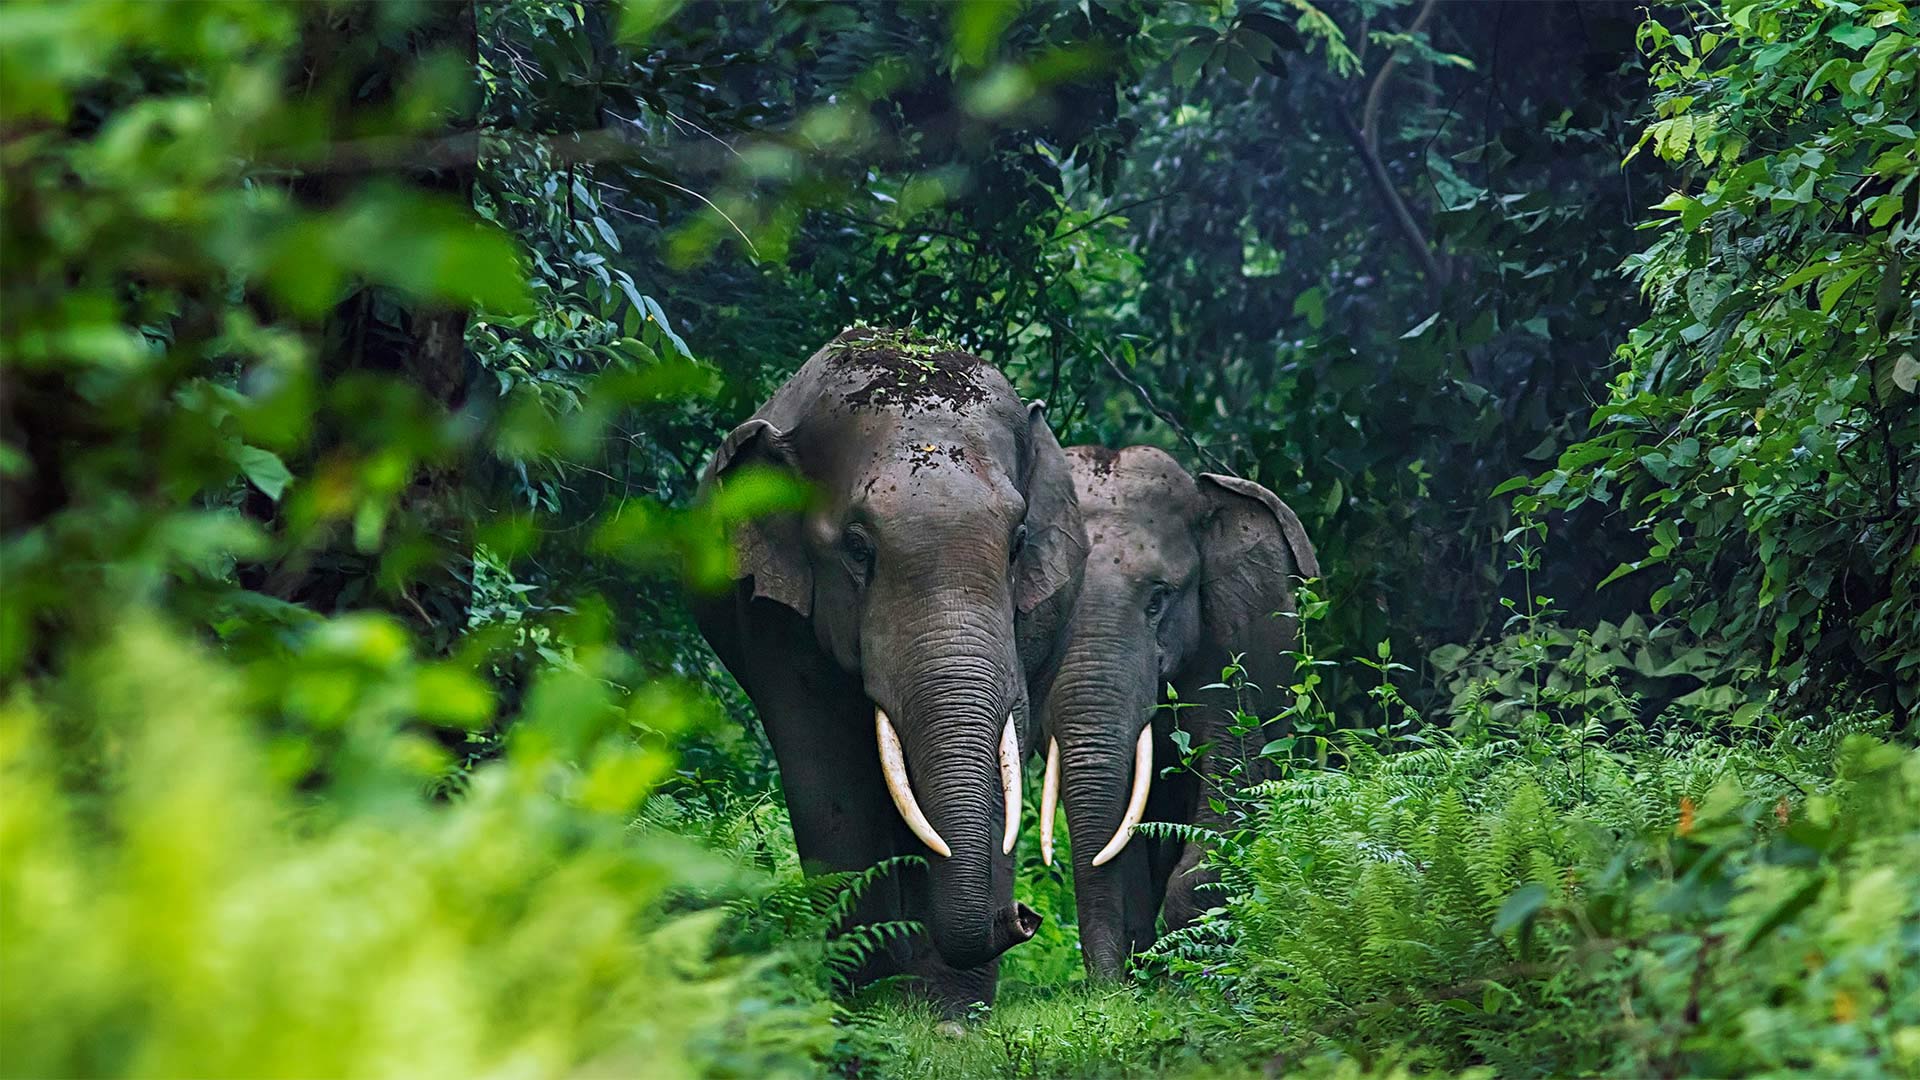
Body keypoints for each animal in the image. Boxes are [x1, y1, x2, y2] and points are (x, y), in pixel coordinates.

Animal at [691, 327, 1087, 1013]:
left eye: (1017, 543)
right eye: (857, 549)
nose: (1023, 917)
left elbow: (1003, 754)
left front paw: (949, 1015)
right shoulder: (773, 617)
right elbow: (830, 771)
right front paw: (867, 998)